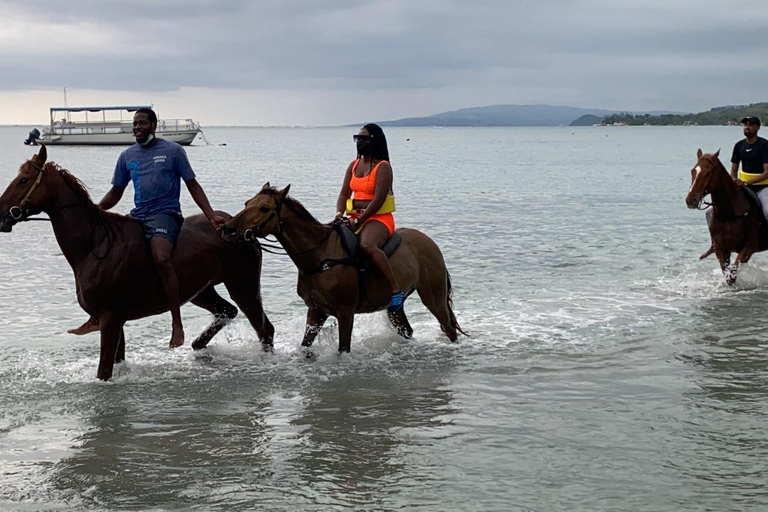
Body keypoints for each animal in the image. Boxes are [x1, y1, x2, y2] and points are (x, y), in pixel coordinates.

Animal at [0, 145, 274, 380]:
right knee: (227, 311)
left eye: (24, 180)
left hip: (243, 286)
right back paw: (199, 344)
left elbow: (104, 371)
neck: (94, 246)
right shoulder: (114, 320)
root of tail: (238, 229)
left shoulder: (110, 318)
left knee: (264, 329)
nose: (1, 213)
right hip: (201, 290)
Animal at [219, 184, 464, 356]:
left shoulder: (345, 313)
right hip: (396, 307)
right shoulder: (316, 311)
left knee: (449, 328)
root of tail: (430, 242)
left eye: (264, 208)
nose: (227, 229)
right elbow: (306, 346)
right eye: (246, 203)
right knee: (407, 330)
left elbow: (343, 348)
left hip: (434, 298)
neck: (320, 256)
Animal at [684, 148, 768, 284]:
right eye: (693, 171)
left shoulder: (748, 248)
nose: (690, 200)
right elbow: (728, 276)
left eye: (708, 173)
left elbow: (732, 275)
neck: (729, 215)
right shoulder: (721, 249)